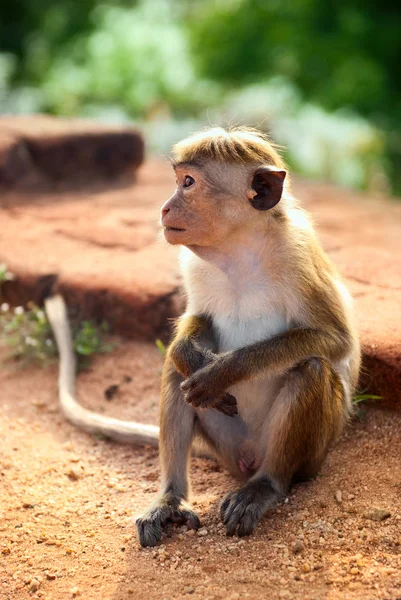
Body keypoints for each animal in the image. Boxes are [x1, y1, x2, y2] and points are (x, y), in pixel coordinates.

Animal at [43, 126, 360, 548]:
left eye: (188, 183)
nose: (164, 209)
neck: (239, 250)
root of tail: (247, 460)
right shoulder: (193, 264)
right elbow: (198, 324)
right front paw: (187, 352)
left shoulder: (299, 257)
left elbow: (335, 339)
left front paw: (223, 372)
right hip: (225, 440)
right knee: (175, 373)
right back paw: (171, 498)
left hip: (311, 453)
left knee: (309, 368)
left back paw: (266, 486)